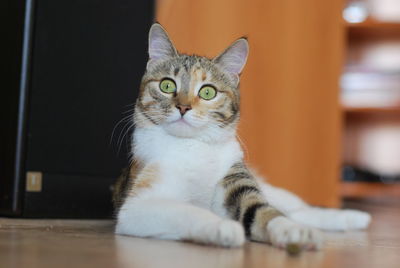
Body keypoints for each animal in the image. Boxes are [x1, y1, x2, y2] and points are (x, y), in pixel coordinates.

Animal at [111, 23, 368, 249]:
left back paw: (350, 217)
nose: (183, 107)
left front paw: (293, 231)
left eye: (207, 92)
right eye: (166, 85)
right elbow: (186, 210)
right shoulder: (139, 203)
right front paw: (220, 227)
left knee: (296, 209)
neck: (193, 146)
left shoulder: (234, 179)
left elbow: (262, 211)